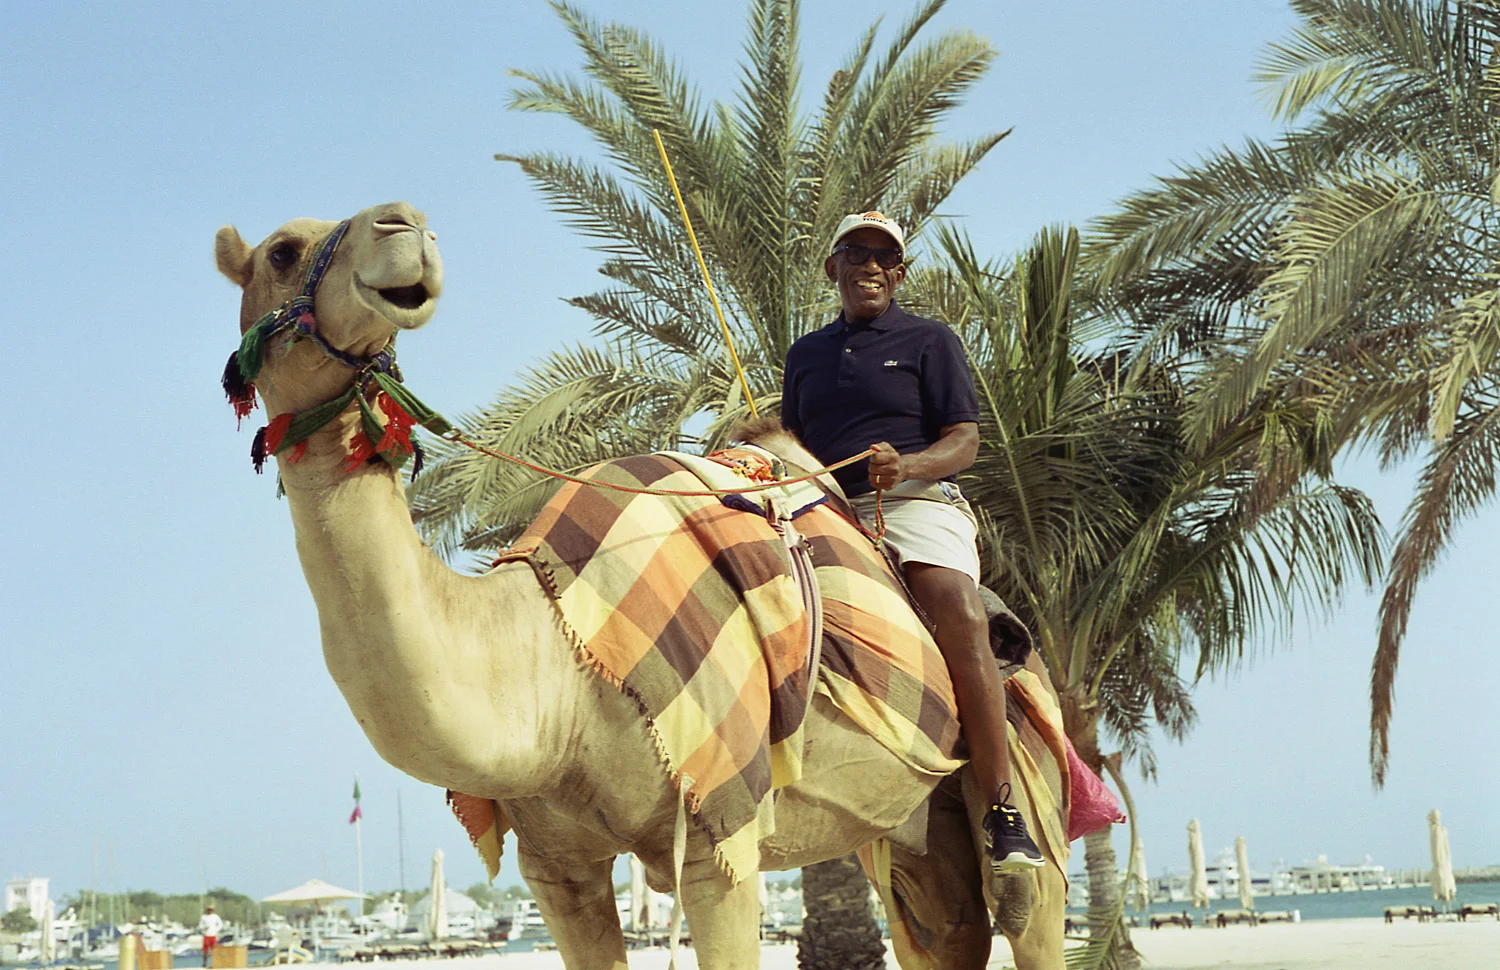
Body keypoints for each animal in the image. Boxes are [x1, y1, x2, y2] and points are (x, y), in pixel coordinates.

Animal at [217, 199, 1074, 970]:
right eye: (281, 252)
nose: (406, 228)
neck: (558, 658)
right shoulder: (556, 869)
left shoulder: (721, 826)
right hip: (911, 834)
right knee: (946, 927)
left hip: (1022, 782)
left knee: (1025, 909)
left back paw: (1012, 840)